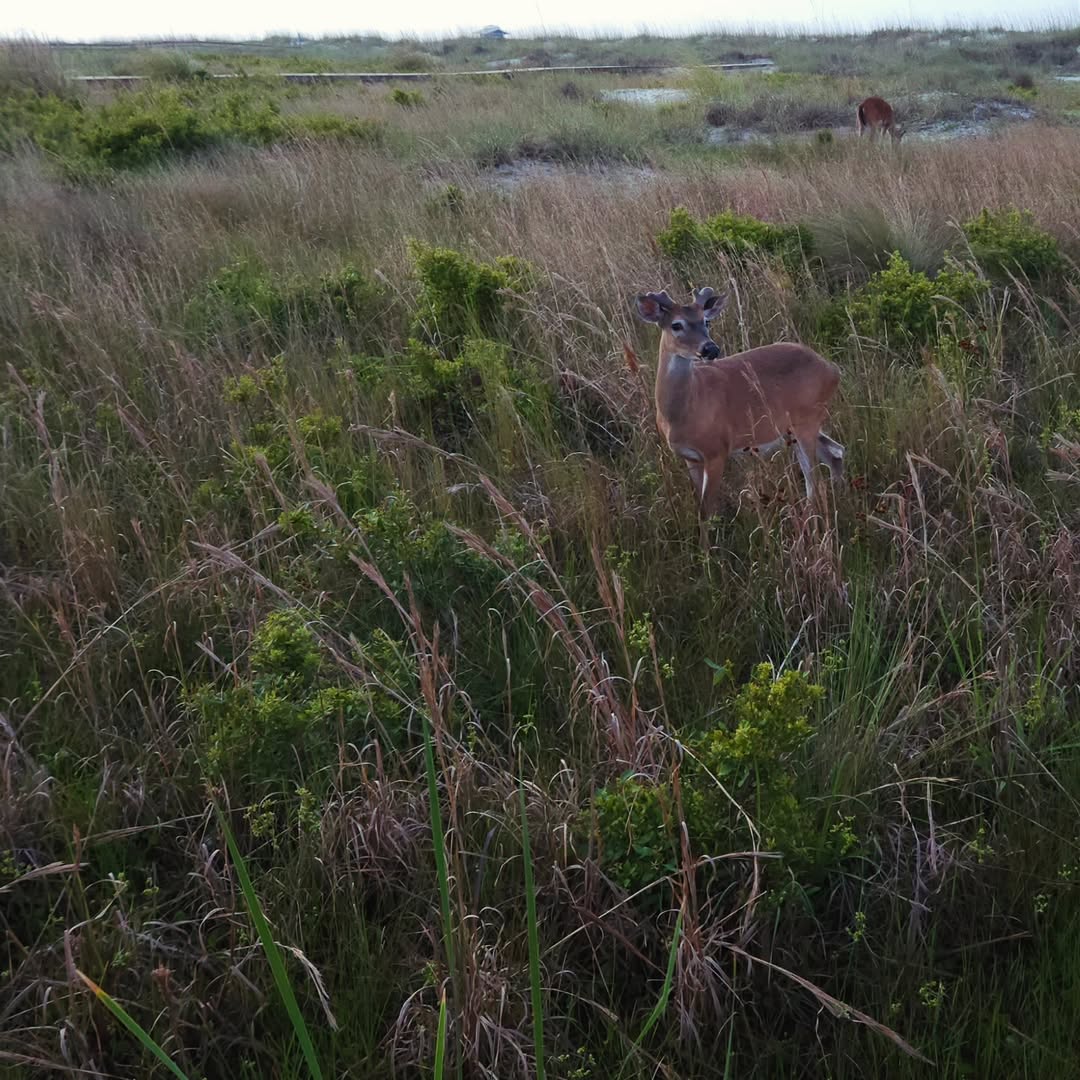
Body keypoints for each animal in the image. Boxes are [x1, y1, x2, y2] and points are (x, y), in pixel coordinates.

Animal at [635, 287, 844, 518]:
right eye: (676, 325)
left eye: (706, 321)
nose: (710, 349)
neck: (681, 414)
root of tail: (832, 369)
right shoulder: (691, 458)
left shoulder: (716, 450)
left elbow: (706, 511)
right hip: (795, 428)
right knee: (835, 452)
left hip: (807, 420)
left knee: (814, 477)